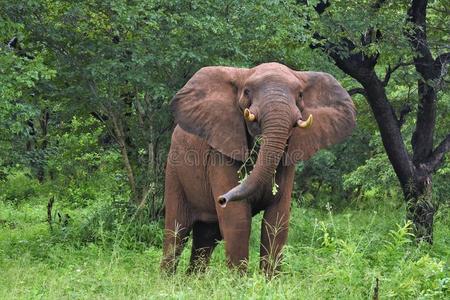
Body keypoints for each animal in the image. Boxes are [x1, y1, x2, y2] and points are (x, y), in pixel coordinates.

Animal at [161, 62, 356, 276]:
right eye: (247, 92)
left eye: (300, 95)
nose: (221, 199)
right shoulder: (221, 151)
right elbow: (237, 220)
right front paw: (238, 281)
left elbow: (276, 222)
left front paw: (268, 281)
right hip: (174, 171)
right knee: (176, 231)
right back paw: (168, 280)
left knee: (207, 236)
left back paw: (193, 280)